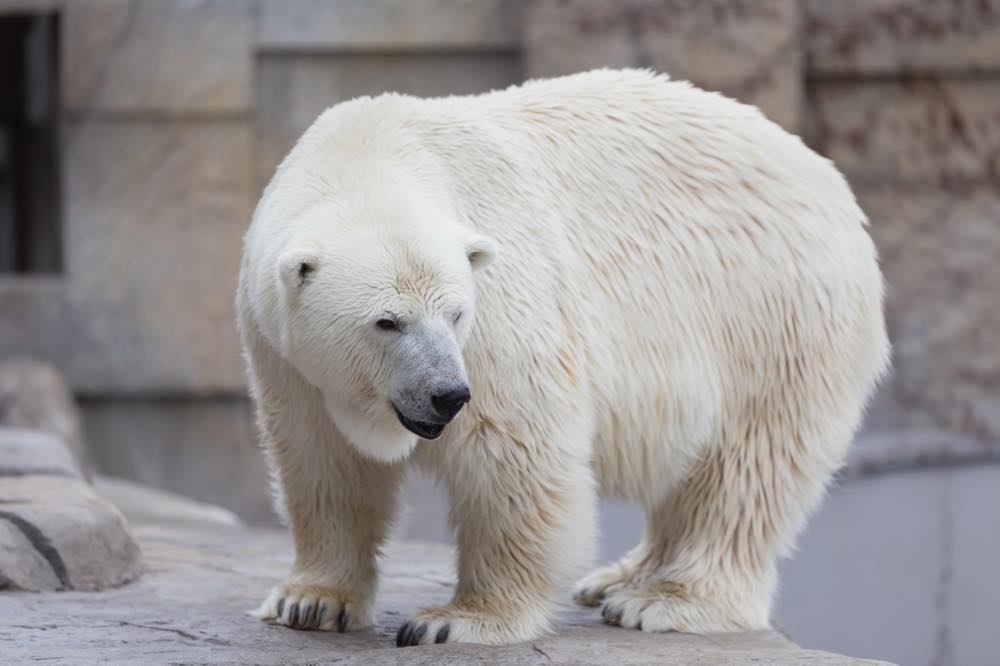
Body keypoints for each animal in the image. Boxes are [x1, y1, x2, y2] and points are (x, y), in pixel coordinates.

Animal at [236, 70, 892, 644]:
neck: (370, 152)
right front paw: (310, 600)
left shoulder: (503, 311)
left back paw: (663, 600)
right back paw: (616, 579)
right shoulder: (283, 352)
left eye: (457, 313)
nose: (447, 394)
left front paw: (458, 620)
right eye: (386, 322)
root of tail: (830, 182)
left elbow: (512, 451)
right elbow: (322, 462)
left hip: (768, 312)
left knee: (747, 465)